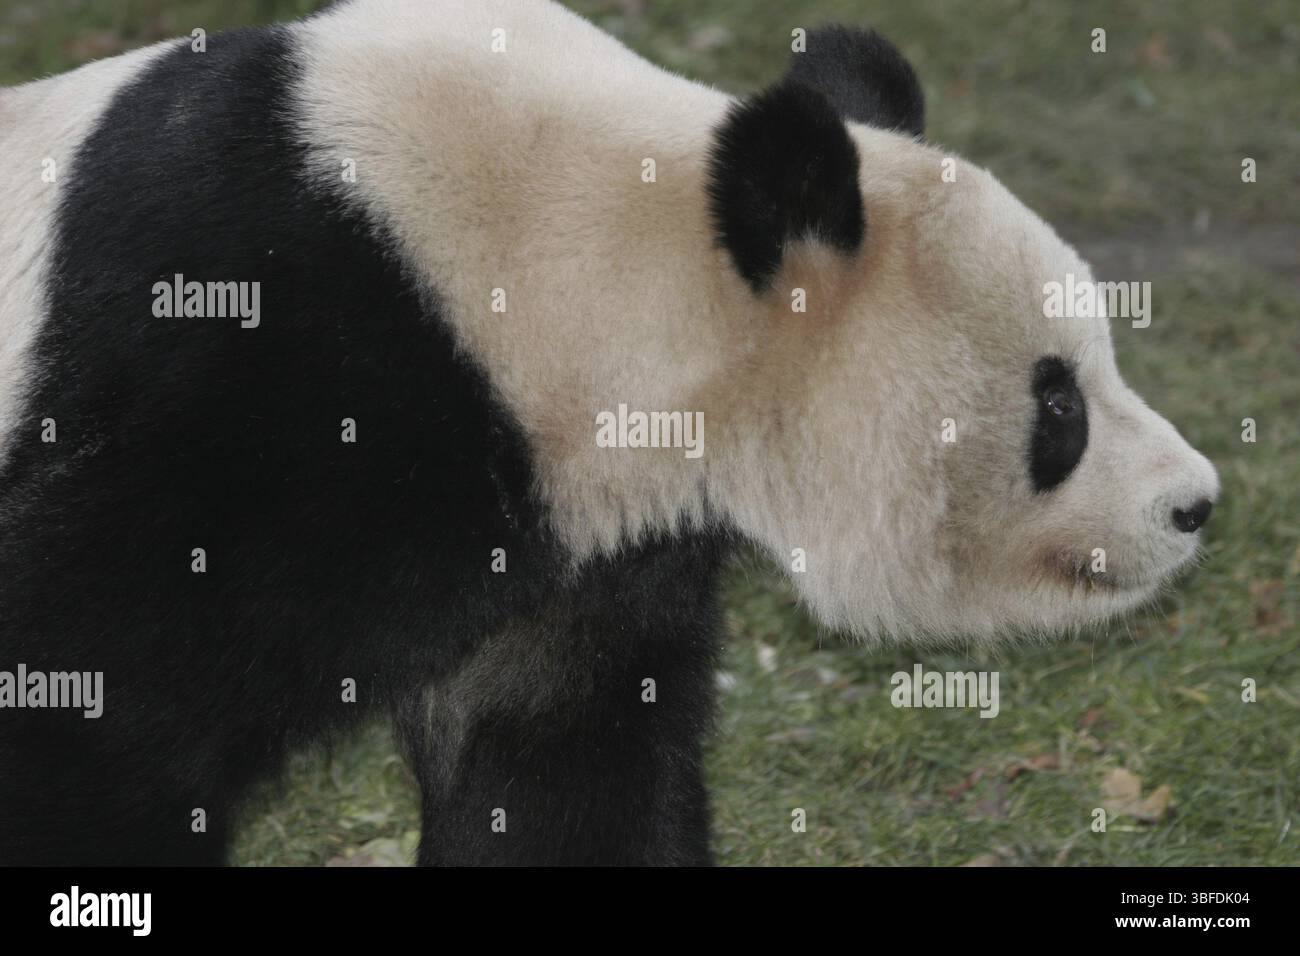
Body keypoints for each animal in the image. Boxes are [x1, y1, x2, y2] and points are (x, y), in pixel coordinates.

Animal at [0, 0, 1218, 865]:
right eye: (1057, 405)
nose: (1193, 503)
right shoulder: (247, 370)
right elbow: (86, 713)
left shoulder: (581, 532)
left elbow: (558, 760)